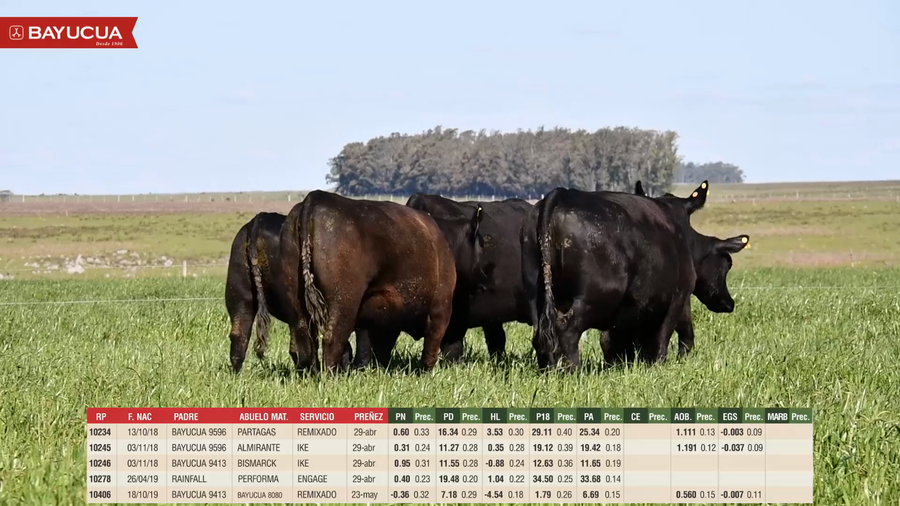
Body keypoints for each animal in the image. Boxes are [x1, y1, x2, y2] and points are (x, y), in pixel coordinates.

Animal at [278, 190, 489, 374]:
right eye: (481, 244)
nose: (484, 277)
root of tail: (316, 198)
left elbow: (377, 349)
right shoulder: (441, 308)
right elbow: (430, 348)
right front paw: (427, 374)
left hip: (295, 300)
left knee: (302, 339)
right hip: (343, 302)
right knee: (332, 340)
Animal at [521, 181, 750, 371]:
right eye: (727, 264)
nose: (728, 303)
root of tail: (561, 195)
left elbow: (612, 341)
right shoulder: (679, 295)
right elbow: (671, 334)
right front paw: (661, 364)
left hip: (538, 297)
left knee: (542, 334)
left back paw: (549, 370)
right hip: (595, 297)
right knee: (567, 330)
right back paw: (572, 371)